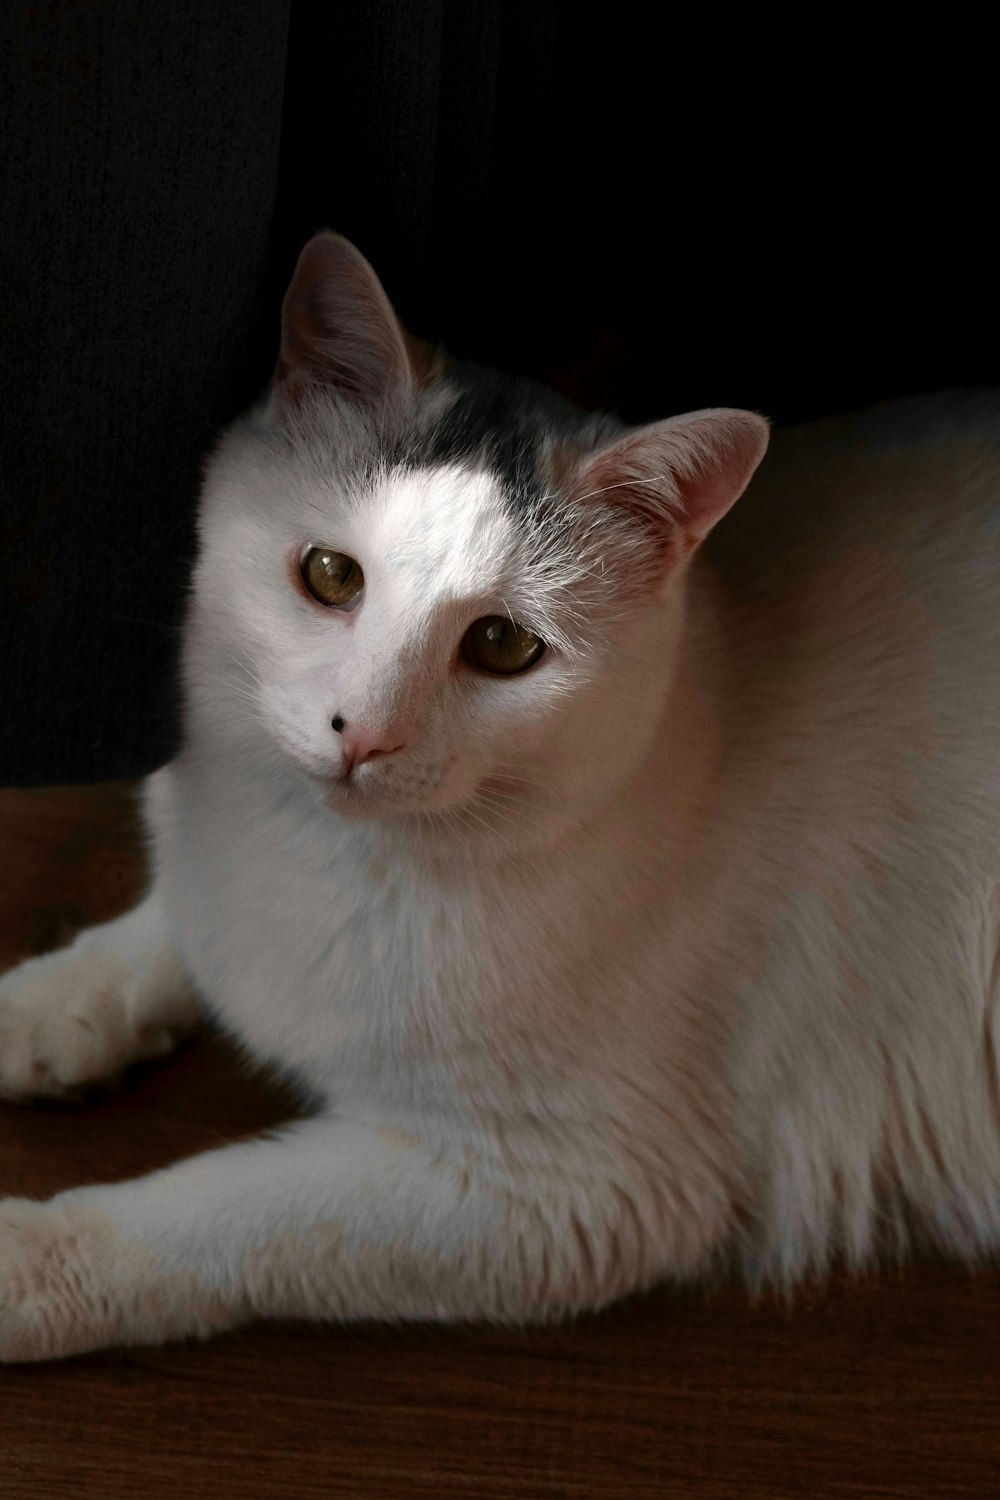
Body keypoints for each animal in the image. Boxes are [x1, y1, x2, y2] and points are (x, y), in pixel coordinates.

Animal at [1, 231, 1000, 1362]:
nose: (364, 733)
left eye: (504, 646)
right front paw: (48, 1006)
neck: (328, 855)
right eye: (330, 575)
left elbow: (213, 1215)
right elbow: (163, 925)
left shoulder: (566, 1190)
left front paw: (21, 1265)